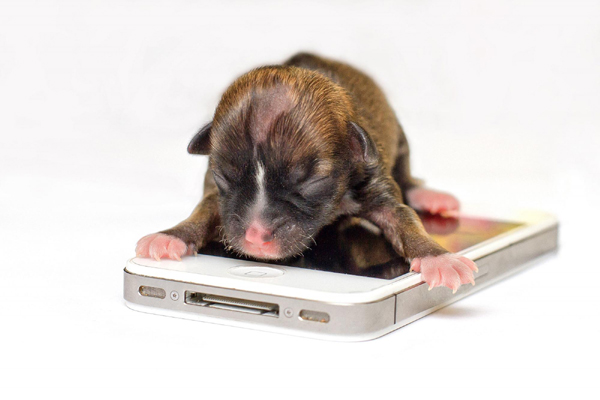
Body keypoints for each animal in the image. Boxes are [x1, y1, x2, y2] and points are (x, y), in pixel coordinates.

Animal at [136, 52, 478, 290]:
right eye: (223, 176)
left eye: (311, 182)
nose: (255, 236)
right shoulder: (218, 194)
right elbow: (205, 210)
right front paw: (171, 236)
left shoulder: (372, 178)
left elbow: (404, 220)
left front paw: (439, 259)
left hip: (401, 139)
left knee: (407, 175)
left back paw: (430, 197)